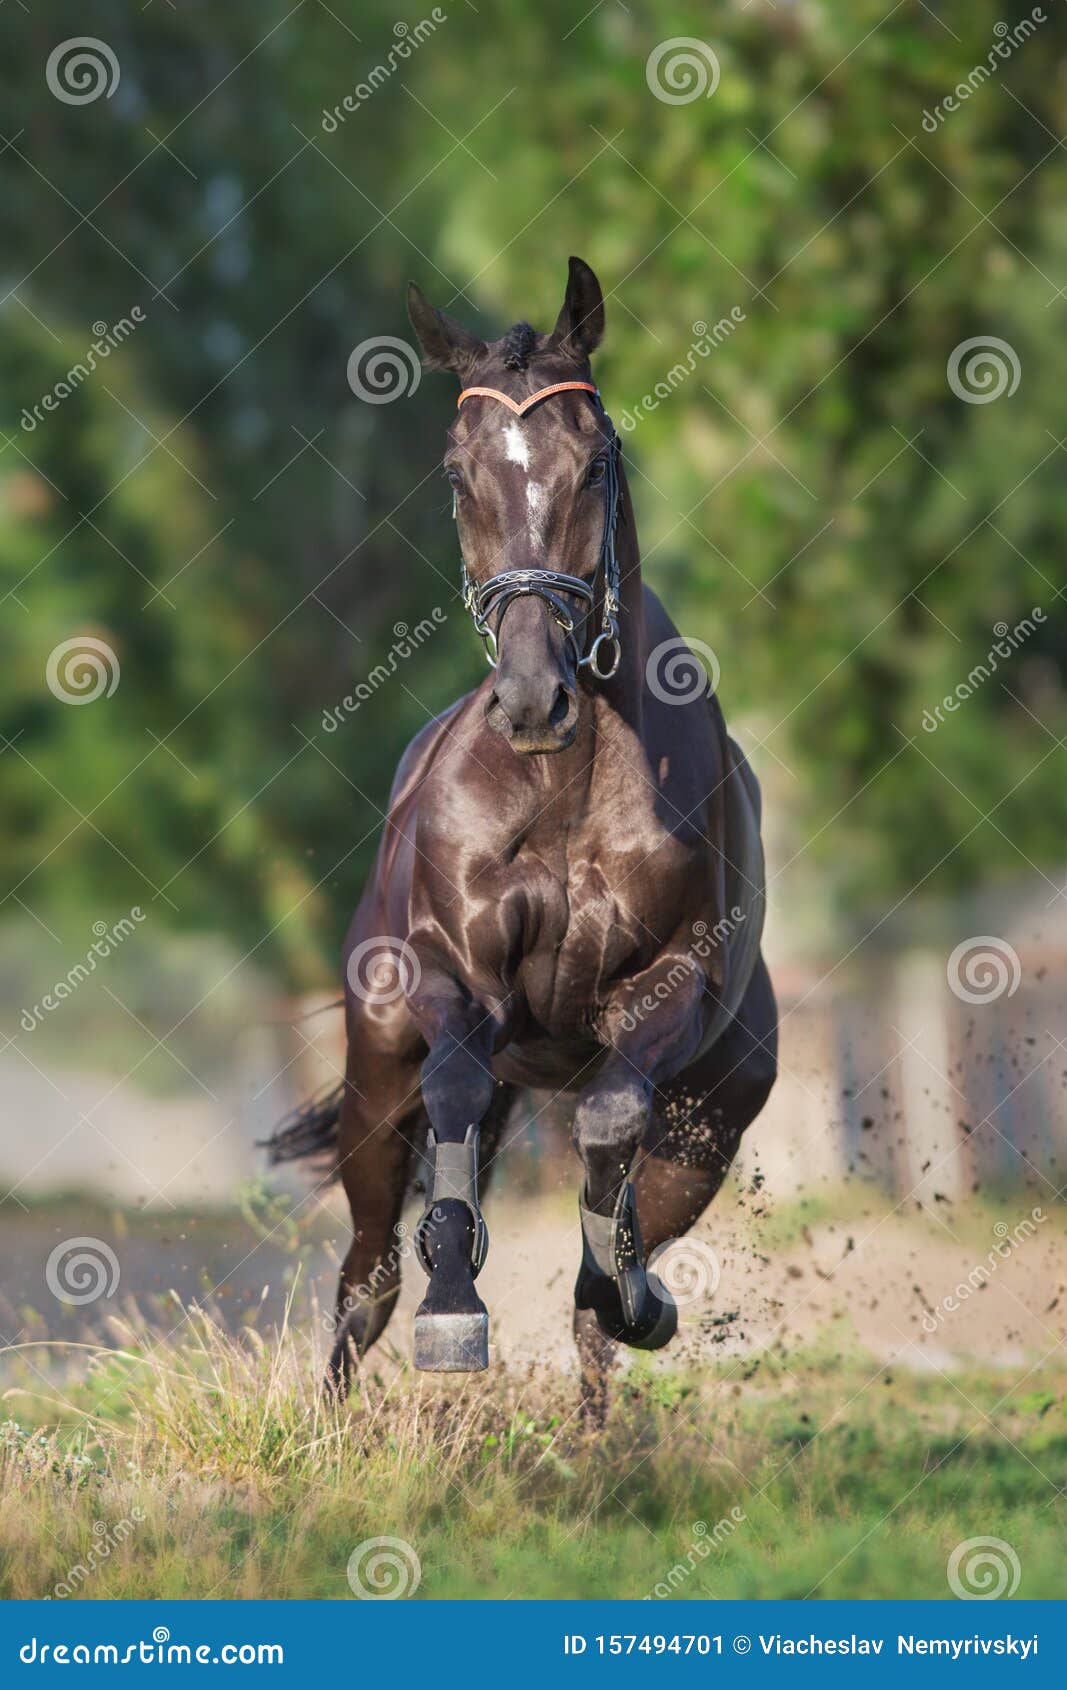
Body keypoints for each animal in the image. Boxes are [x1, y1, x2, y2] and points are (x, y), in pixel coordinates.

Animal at [267, 257, 778, 1400]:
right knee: (365, 1277)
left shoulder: (676, 982)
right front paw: (455, 1307)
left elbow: (609, 1123)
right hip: (375, 1082)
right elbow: (456, 1091)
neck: (564, 783)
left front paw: (630, 1288)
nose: (533, 696)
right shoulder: (452, 978)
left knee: (600, 1288)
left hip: (714, 1123)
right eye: (457, 474)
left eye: (591, 464)